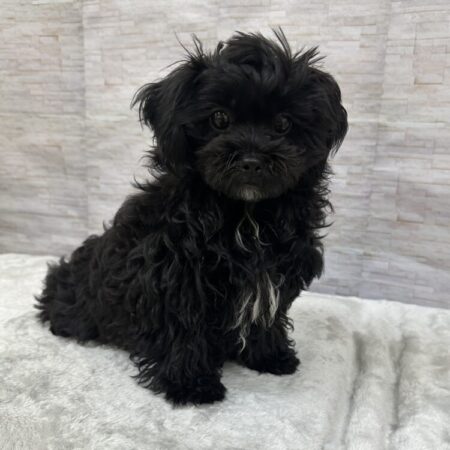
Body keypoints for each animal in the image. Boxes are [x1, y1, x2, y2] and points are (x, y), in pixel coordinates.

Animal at [36, 30, 347, 405]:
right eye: (219, 118)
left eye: (283, 123)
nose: (252, 160)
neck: (247, 215)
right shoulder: (178, 278)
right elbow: (184, 329)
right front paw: (191, 385)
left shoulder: (276, 274)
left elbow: (267, 319)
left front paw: (270, 357)